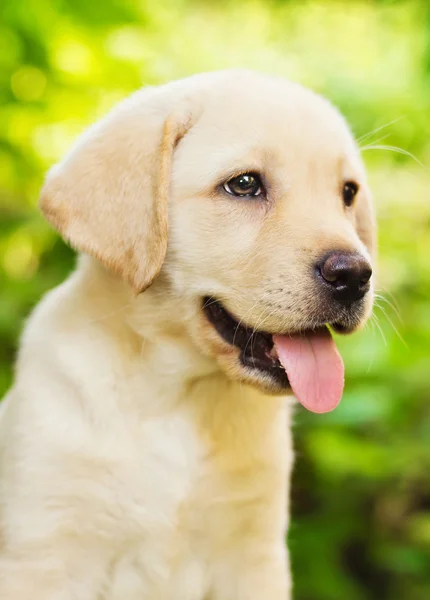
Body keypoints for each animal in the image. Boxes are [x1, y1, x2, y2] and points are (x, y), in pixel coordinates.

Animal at [0, 68, 372, 596]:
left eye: (348, 193)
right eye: (244, 184)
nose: (355, 276)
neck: (180, 395)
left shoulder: (254, 557)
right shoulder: (44, 553)